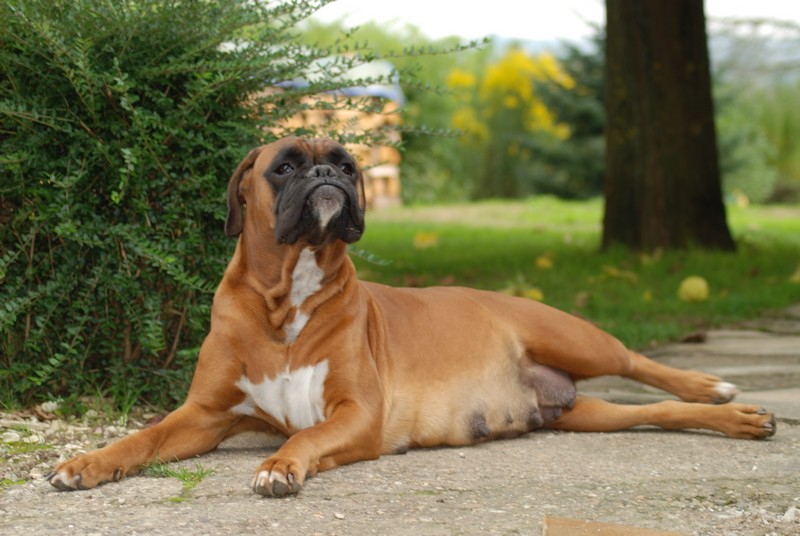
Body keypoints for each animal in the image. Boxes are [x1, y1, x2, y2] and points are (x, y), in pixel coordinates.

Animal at [48, 136, 776, 497]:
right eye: (284, 167)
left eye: (345, 163)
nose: (329, 175)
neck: (287, 298)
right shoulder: (204, 415)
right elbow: (141, 440)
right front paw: (87, 463)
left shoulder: (357, 414)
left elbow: (305, 438)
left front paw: (281, 467)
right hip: (583, 414)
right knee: (656, 413)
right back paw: (734, 419)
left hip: (578, 340)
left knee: (641, 363)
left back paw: (719, 389)